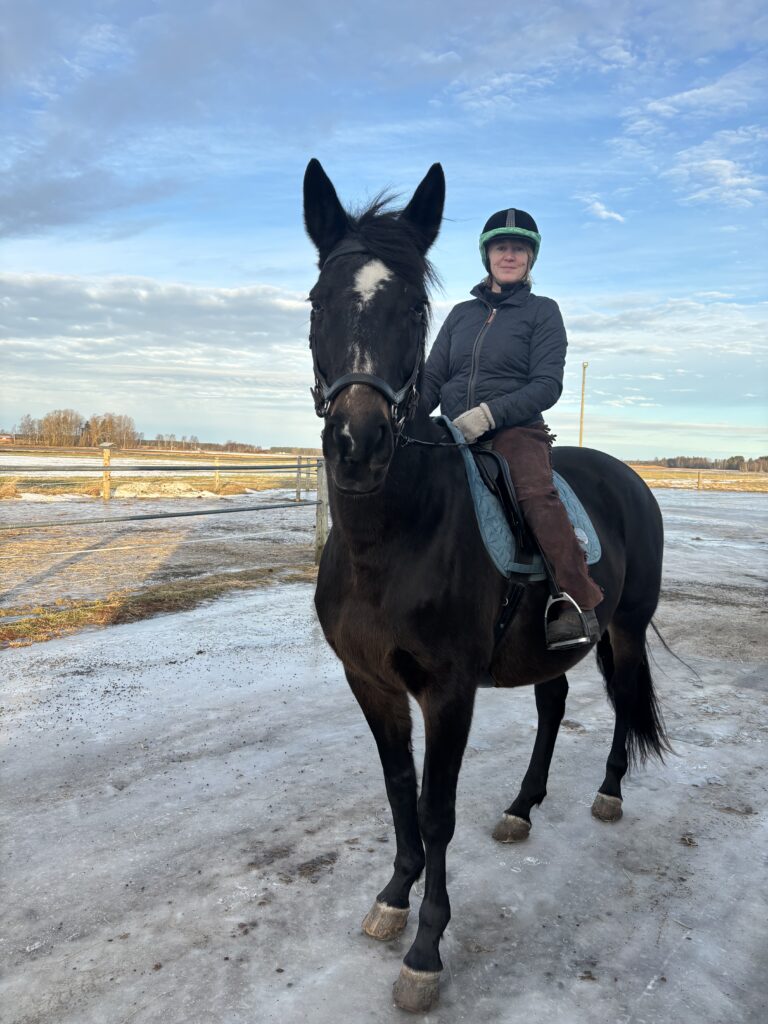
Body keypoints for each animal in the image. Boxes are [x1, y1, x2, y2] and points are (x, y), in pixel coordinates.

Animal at [303, 159, 671, 1007]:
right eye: (317, 301)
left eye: (414, 307)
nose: (357, 445)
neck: (392, 537)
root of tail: (627, 476)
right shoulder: (370, 682)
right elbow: (399, 792)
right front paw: (391, 900)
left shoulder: (449, 689)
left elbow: (436, 809)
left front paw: (426, 951)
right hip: (545, 645)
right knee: (553, 703)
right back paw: (521, 808)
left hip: (624, 628)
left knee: (621, 701)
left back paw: (609, 794)